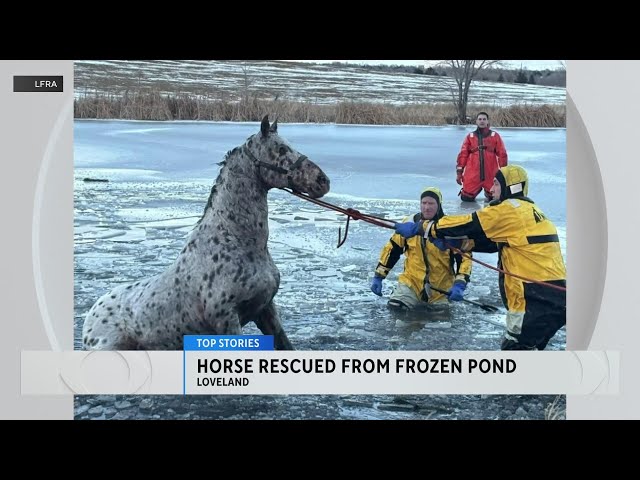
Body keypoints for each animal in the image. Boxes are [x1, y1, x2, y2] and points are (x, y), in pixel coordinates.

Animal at [82, 115, 330, 350]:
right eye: (281, 149)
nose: (323, 181)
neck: (236, 241)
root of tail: (90, 317)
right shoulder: (227, 319)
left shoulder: (265, 309)